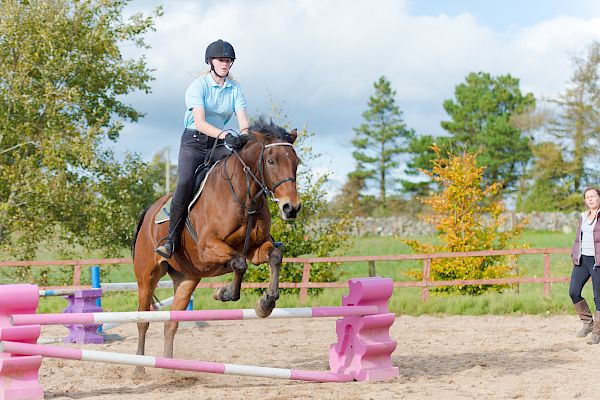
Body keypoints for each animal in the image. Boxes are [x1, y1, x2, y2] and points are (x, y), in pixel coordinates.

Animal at [131, 119, 300, 368]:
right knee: (143, 320)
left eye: (296, 163)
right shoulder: (208, 247)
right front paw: (225, 293)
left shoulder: (256, 249)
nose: (291, 208)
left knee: (171, 323)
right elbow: (239, 263)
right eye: (271, 161)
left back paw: (169, 368)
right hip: (147, 276)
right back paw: (140, 369)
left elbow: (274, 257)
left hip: (187, 278)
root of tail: (148, 212)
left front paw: (265, 303)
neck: (244, 197)